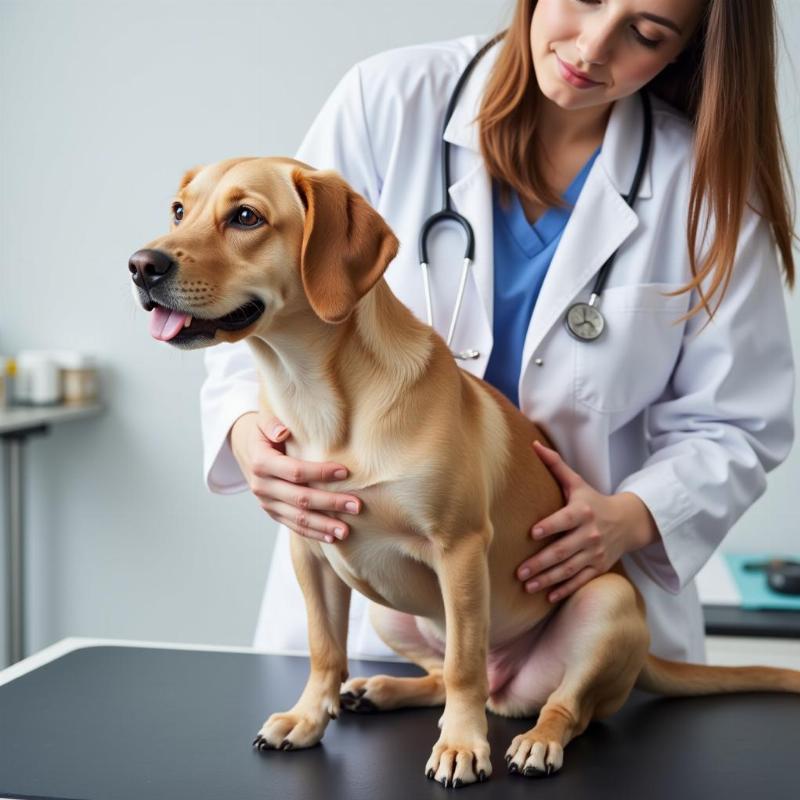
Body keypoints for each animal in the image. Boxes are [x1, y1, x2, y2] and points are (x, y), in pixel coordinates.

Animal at [130, 158, 800, 788]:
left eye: (246, 217)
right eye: (178, 210)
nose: (140, 265)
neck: (321, 398)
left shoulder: (459, 549)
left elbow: (463, 665)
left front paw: (460, 746)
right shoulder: (311, 551)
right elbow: (325, 649)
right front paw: (308, 717)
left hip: (603, 604)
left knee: (559, 705)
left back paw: (534, 741)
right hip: (384, 608)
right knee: (434, 673)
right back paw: (382, 689)